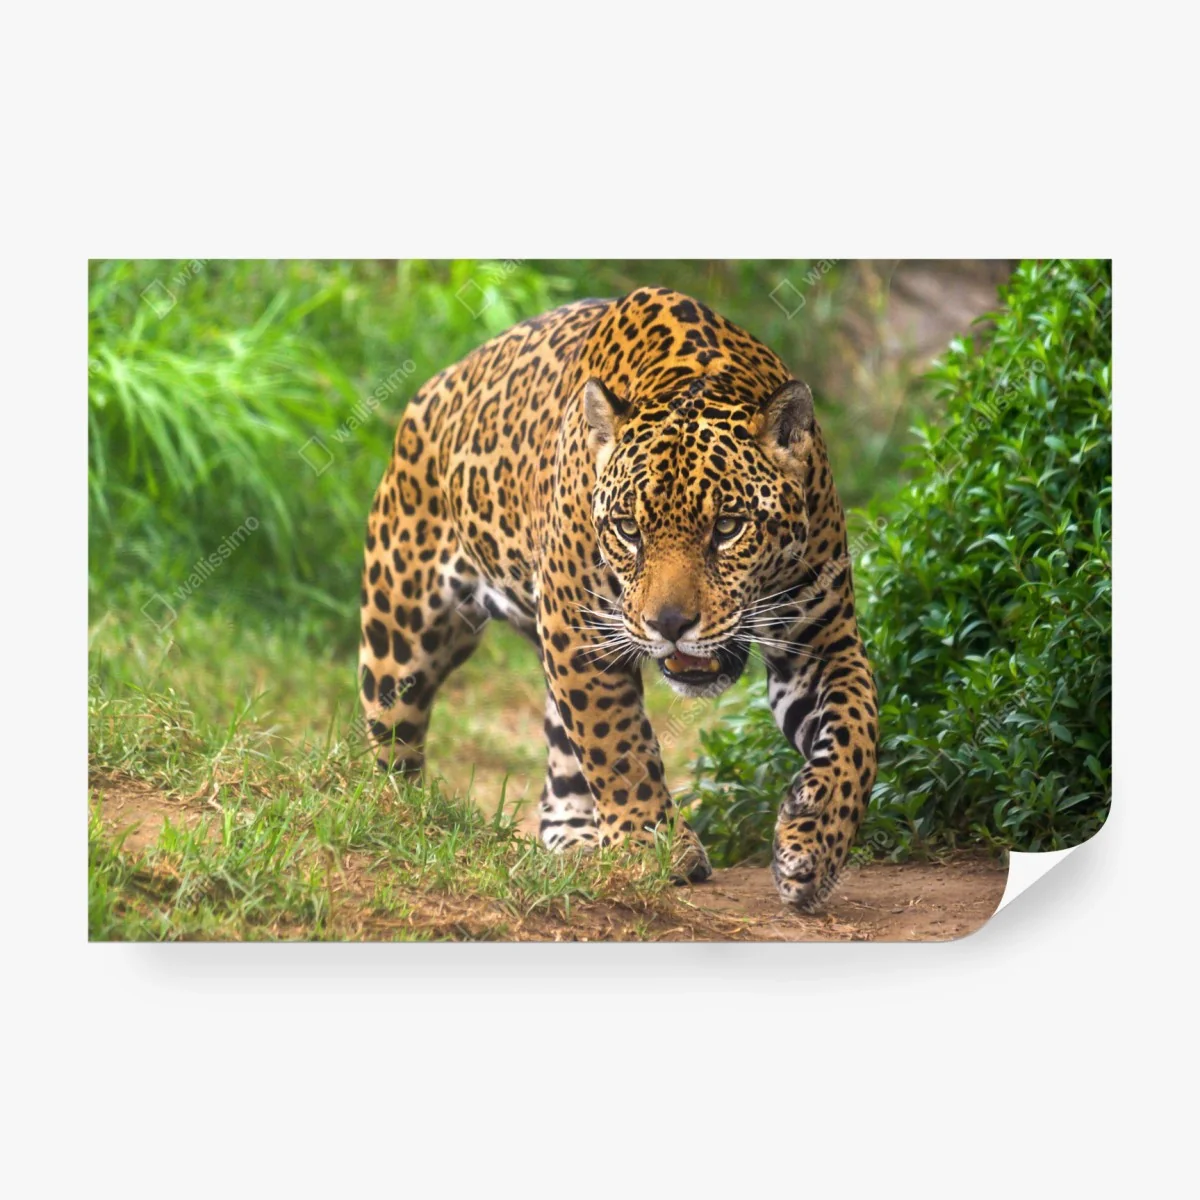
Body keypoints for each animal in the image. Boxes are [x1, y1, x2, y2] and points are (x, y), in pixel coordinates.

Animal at [358, 286, 878, 911]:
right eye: (629, 530)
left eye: (728, 527)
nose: (671, 624)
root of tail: (435, 386)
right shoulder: (578, 630)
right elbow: (616, 742)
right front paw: (653, 845)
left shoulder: (822, 642)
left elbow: (857, 733)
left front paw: (814, 840)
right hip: (402, 634)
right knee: (393, 743)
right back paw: (398, 819)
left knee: (562, 764)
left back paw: (578, 842)